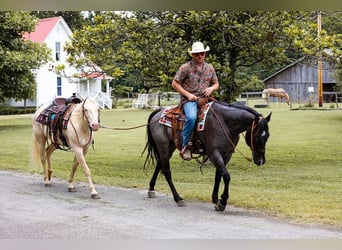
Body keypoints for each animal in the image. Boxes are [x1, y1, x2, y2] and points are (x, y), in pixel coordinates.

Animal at [143, 101, 272, 211]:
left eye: (267, 135)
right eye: (257, 135)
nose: (261, 161)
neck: (225, 123)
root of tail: (159, 112)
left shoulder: (226, 155)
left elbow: (218, 176)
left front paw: (215, 199)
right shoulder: (214, 153)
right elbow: (226, 176)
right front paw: (222, 202)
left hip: (170, 147)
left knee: (159, 165)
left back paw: (151, 189)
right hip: (163, 147)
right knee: (167, 172)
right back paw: (178, 198)